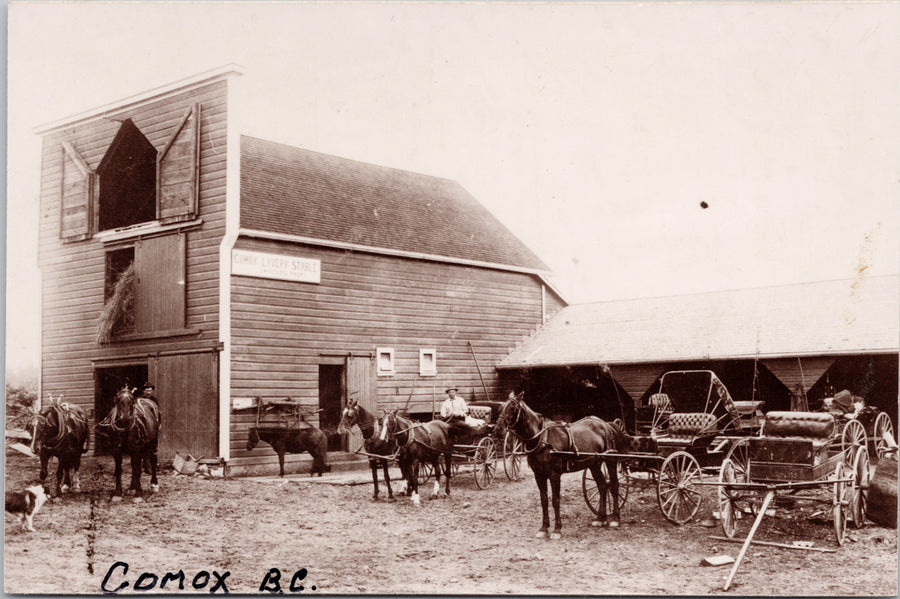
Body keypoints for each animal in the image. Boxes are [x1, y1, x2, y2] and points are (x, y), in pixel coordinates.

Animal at [496, 394, 628, 540]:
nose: (497, 429)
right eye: (500, 407)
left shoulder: (555, 475)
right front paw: (543, 528)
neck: (542, 439)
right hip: (594, 464)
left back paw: (615, 518)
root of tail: (606, 424)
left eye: (512, 408)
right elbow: (544, 500)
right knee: (602, 485)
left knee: (614, 485)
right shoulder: (539, 475)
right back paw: (600, 518)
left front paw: (557, 529)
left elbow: (555, 500)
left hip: (610, 461)